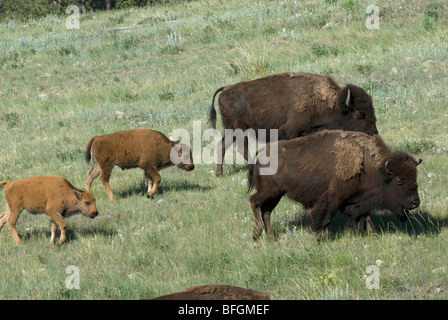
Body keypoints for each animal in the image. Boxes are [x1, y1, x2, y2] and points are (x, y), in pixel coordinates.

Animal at [209, 72, 378, 176]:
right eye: (359, 114)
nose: (374, 133)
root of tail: (226, 89)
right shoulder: (290, 131)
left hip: (231, 130)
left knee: (222, 145)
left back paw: (219, 174)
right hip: (239, 129)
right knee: (241, 148)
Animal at [247, 129, 422, 240]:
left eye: (415, 178)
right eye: (399, 180)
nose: (415, 202)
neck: (373, 167)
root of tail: (261, 153)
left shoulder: (360, 200)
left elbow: (365, 217)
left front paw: (370, 235)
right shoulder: (333, 197)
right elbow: (323, 218)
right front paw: (318, 239)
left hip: (276, 194)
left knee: (266, 211)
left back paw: (272, 238)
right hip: (269, 191)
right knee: (254, 202)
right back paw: (256, 234)